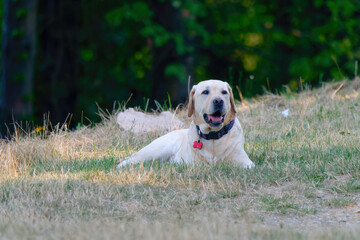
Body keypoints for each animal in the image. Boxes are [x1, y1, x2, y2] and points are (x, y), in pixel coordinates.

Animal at [116, 79, 255, 168]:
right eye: (205, 92)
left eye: (224, 92)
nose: (218, 101)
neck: (213, 136)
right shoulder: (194, 164)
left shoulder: (245, 161)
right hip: (155, 151)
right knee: (132, 159)